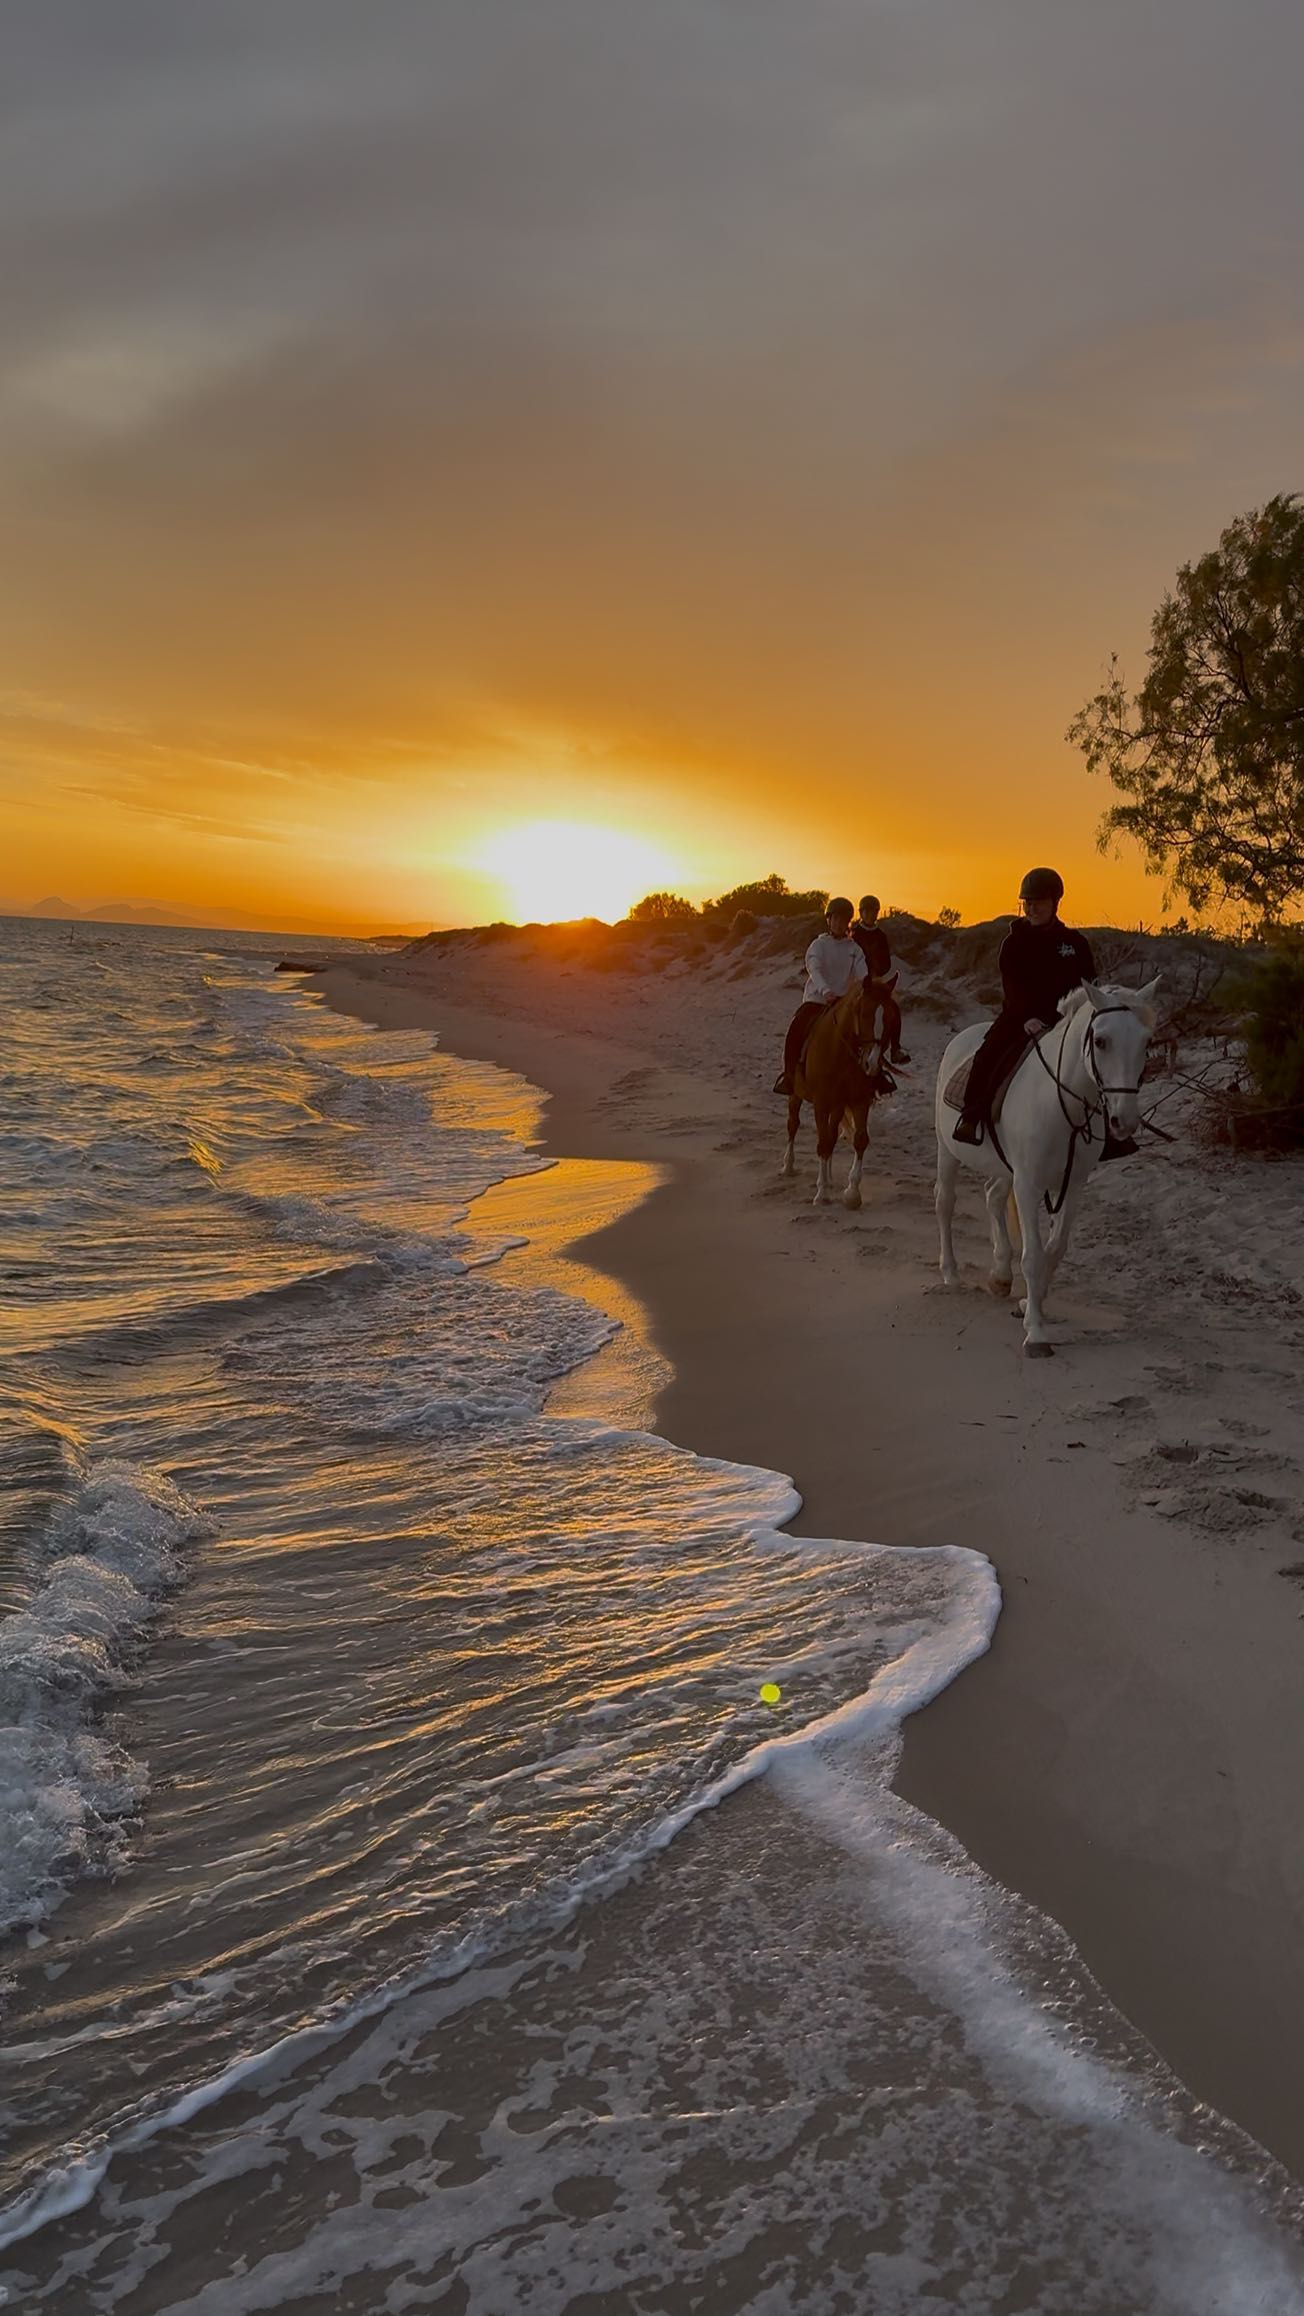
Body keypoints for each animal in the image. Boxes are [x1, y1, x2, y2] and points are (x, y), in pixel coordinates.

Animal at [782, 975, 898, 1208]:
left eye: (890, 1017)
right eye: (864, 1013)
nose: (872, 1064)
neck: (839, 1052)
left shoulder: (859, 1101)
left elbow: (858, 1139)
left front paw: (852, 1193)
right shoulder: (821, 1104)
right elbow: (822, 1142)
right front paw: (821, 1194)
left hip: (837, 1105)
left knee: (832, 1135)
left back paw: (829, 1177)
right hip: (796, 1095)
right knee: (793, 1124)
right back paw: (789, 1165)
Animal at [934, 978, 1160, 1356]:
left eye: (1146, 1042)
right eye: (1101, 1041)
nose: (1124, 1121)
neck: (1061, 1103)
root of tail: (963, 1035)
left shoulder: (1073, 1183)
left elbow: (1055, 1250)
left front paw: (1030, 1303)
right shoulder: (1028, 1184)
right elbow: (1034, 1256)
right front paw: (1037, 1332)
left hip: (1004, 1168)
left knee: (992, 1197)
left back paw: (1000, 1274)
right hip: (947, 1151)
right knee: (946, 1202)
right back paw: (950, 1272)